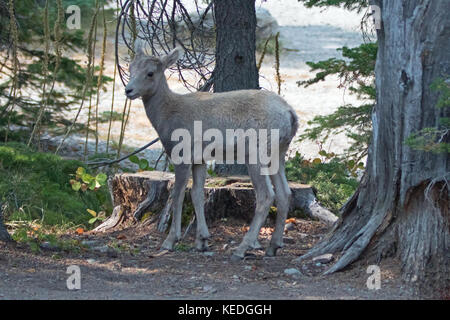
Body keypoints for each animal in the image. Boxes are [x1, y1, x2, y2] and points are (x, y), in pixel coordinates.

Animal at [124, 45, 298, 260]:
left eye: (150, 73)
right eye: (130, 68)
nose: (128, 90)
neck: (167, 118)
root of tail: (291, 115)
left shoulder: (182, 152)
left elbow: (177, 195)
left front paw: (170, 240)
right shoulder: (200, 158)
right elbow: (197, 193)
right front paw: (202, 240)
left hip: (256, 151)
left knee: (266, 195)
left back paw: (242, 248)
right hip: (278, 153)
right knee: (285, 193)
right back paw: (273, 246)